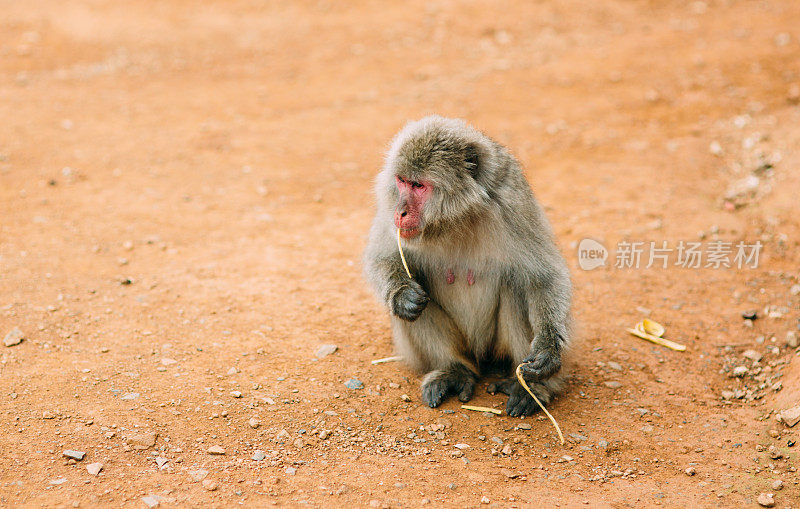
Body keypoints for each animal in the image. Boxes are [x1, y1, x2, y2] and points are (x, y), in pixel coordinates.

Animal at [366, 116, 572, 416]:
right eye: (401, 181)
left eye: (418, 186)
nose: (400, 212)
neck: (457, 218)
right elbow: (383, 257)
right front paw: (402, 295)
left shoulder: (513, 200)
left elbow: (544, 276)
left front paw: (548, 348)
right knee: (419, 299)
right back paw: (454, 369)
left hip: (497, 348)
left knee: (517, 285)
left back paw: (530, 388)